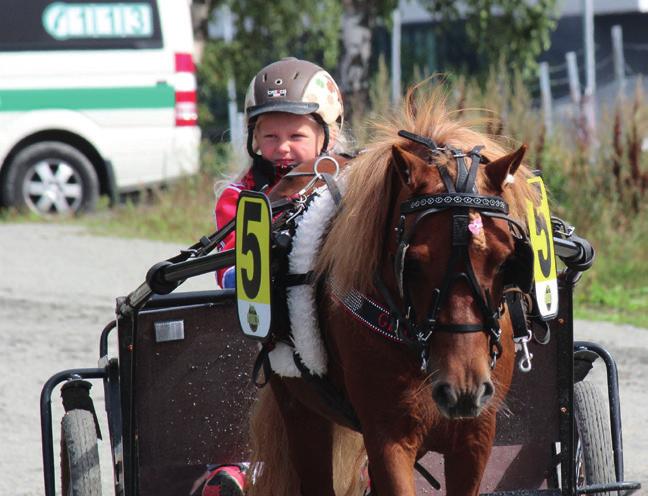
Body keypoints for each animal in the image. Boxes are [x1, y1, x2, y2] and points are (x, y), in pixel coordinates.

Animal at [248, 86, 536, 496]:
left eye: (505, 260)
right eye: (412, 263)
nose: (463, 389)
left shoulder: (475, 438)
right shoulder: (388, 437)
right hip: (299, 405)